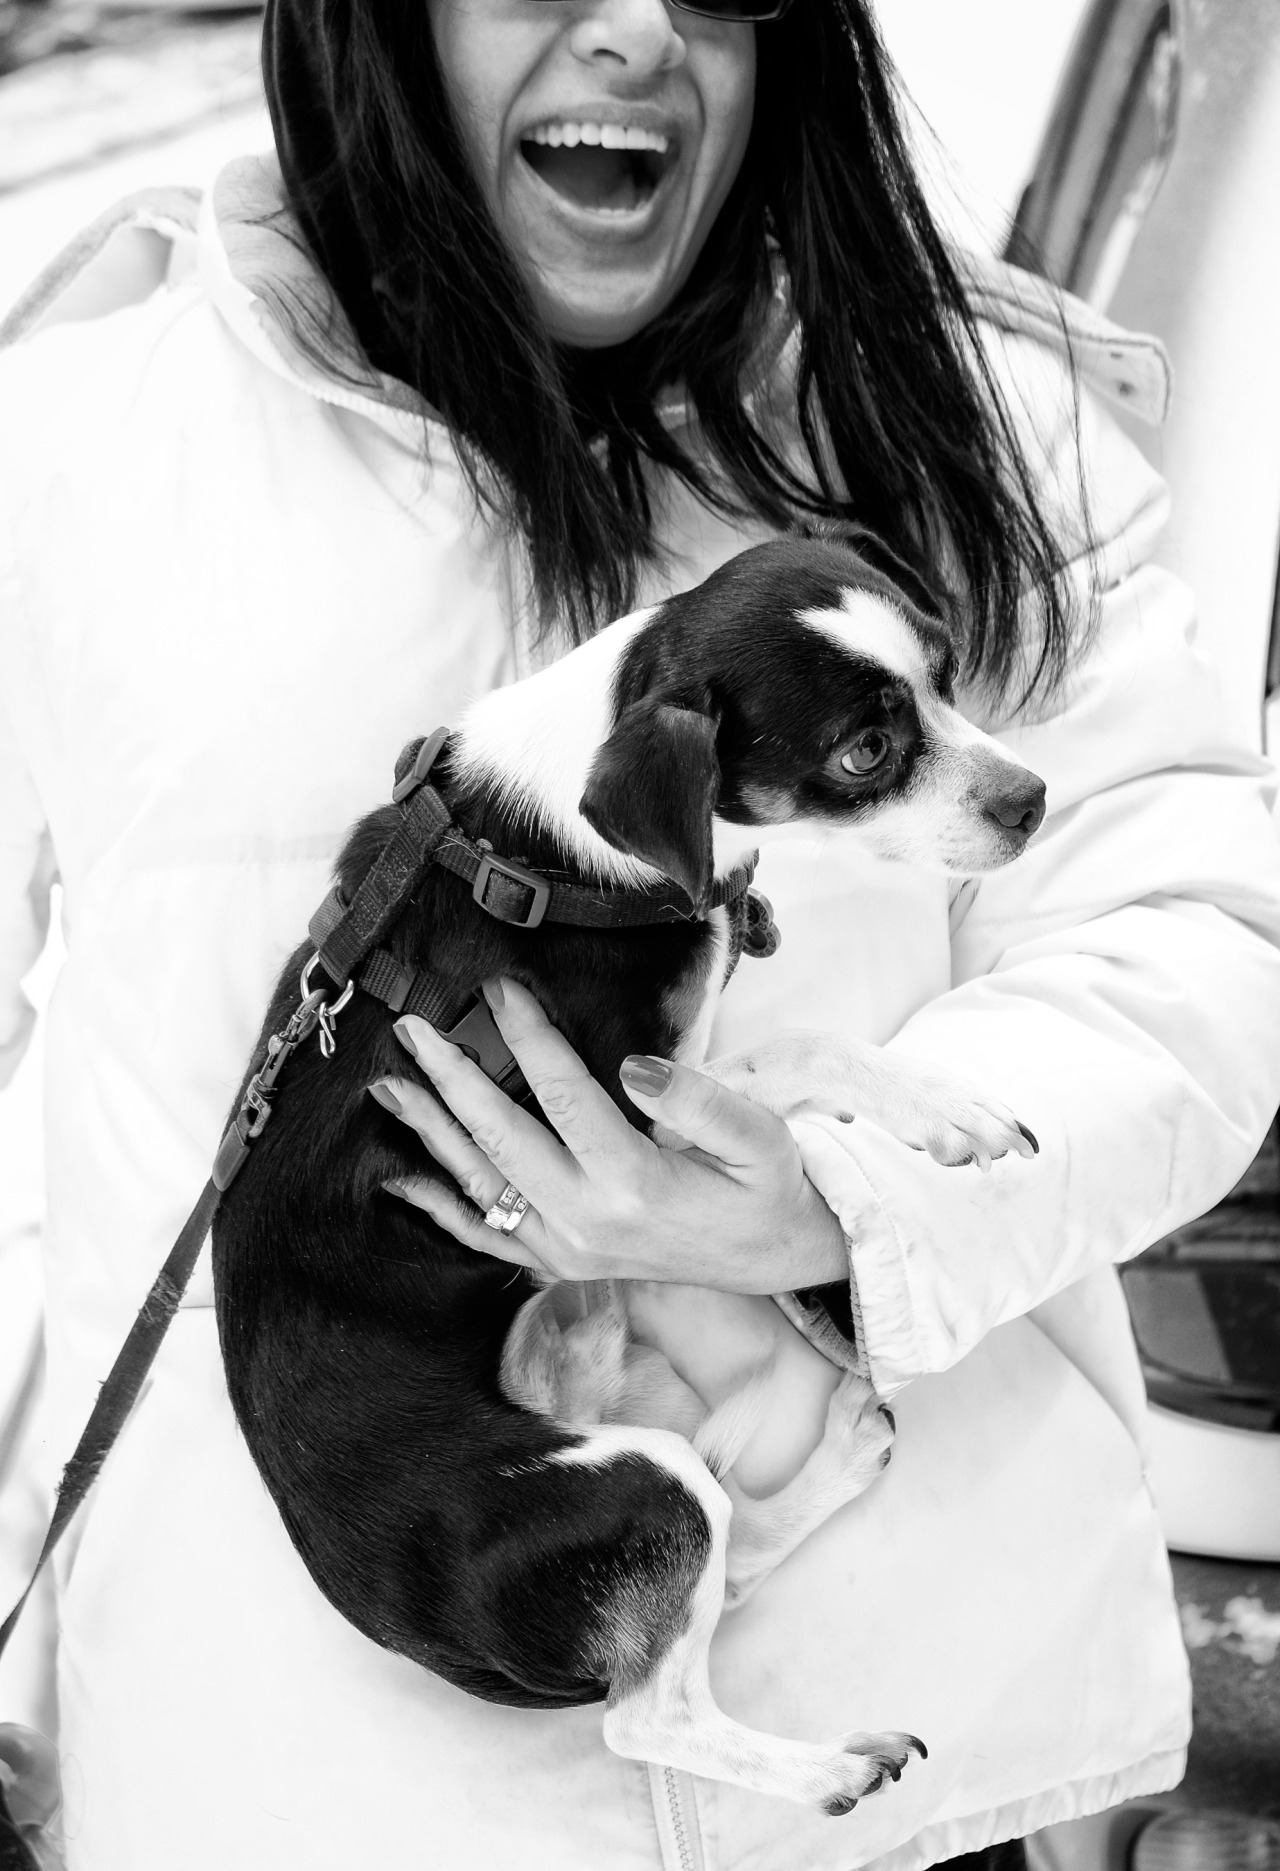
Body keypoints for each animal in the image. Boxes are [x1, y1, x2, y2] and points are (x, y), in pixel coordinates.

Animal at [212, 538, 1040, 1811]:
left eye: (948, 673)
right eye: (864, 751)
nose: (1032, 798)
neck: (558, 855)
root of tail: (432, 1643)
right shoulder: (628, 1115)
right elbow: (799, 1053)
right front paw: (943, 1112)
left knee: (725, 1566)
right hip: (639, 1482)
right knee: (649, 1711)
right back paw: (828, 1769)